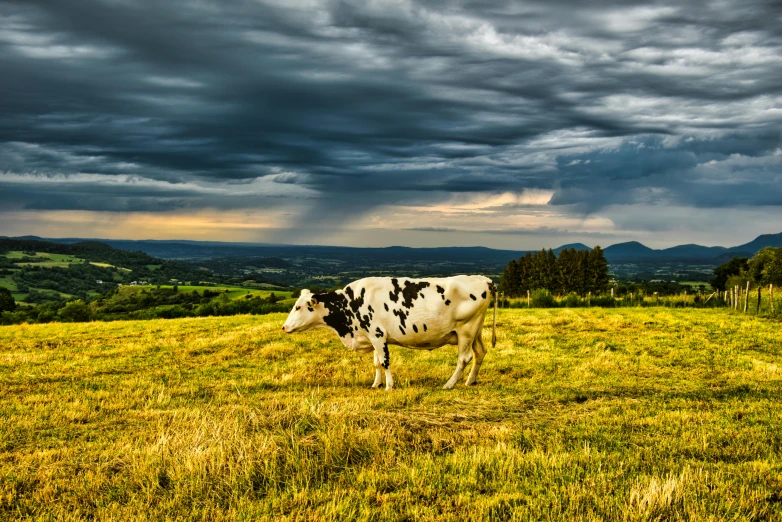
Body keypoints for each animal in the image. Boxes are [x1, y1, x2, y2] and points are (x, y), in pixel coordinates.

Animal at [282, 274, 496, 388]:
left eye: (298, 307)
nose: (283, 327)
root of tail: (483, 279)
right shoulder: (371, 336)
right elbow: (377, 363)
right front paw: (376, 384)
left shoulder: (377, 335)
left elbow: (385, 362)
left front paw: (389, 386)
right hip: (475, 330)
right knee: (480, 352)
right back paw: (470, 381)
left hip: (466, 329)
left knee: (464, 358)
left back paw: (449, 384)